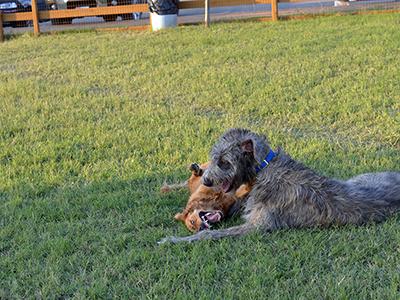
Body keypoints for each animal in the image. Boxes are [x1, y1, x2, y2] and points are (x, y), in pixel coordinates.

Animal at [159, 127, 400, 243]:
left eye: (224, 162)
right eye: (214, 158)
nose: (207, 180)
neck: (264, 168)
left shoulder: (257, 227)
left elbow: (208, 234)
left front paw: (172, 240)